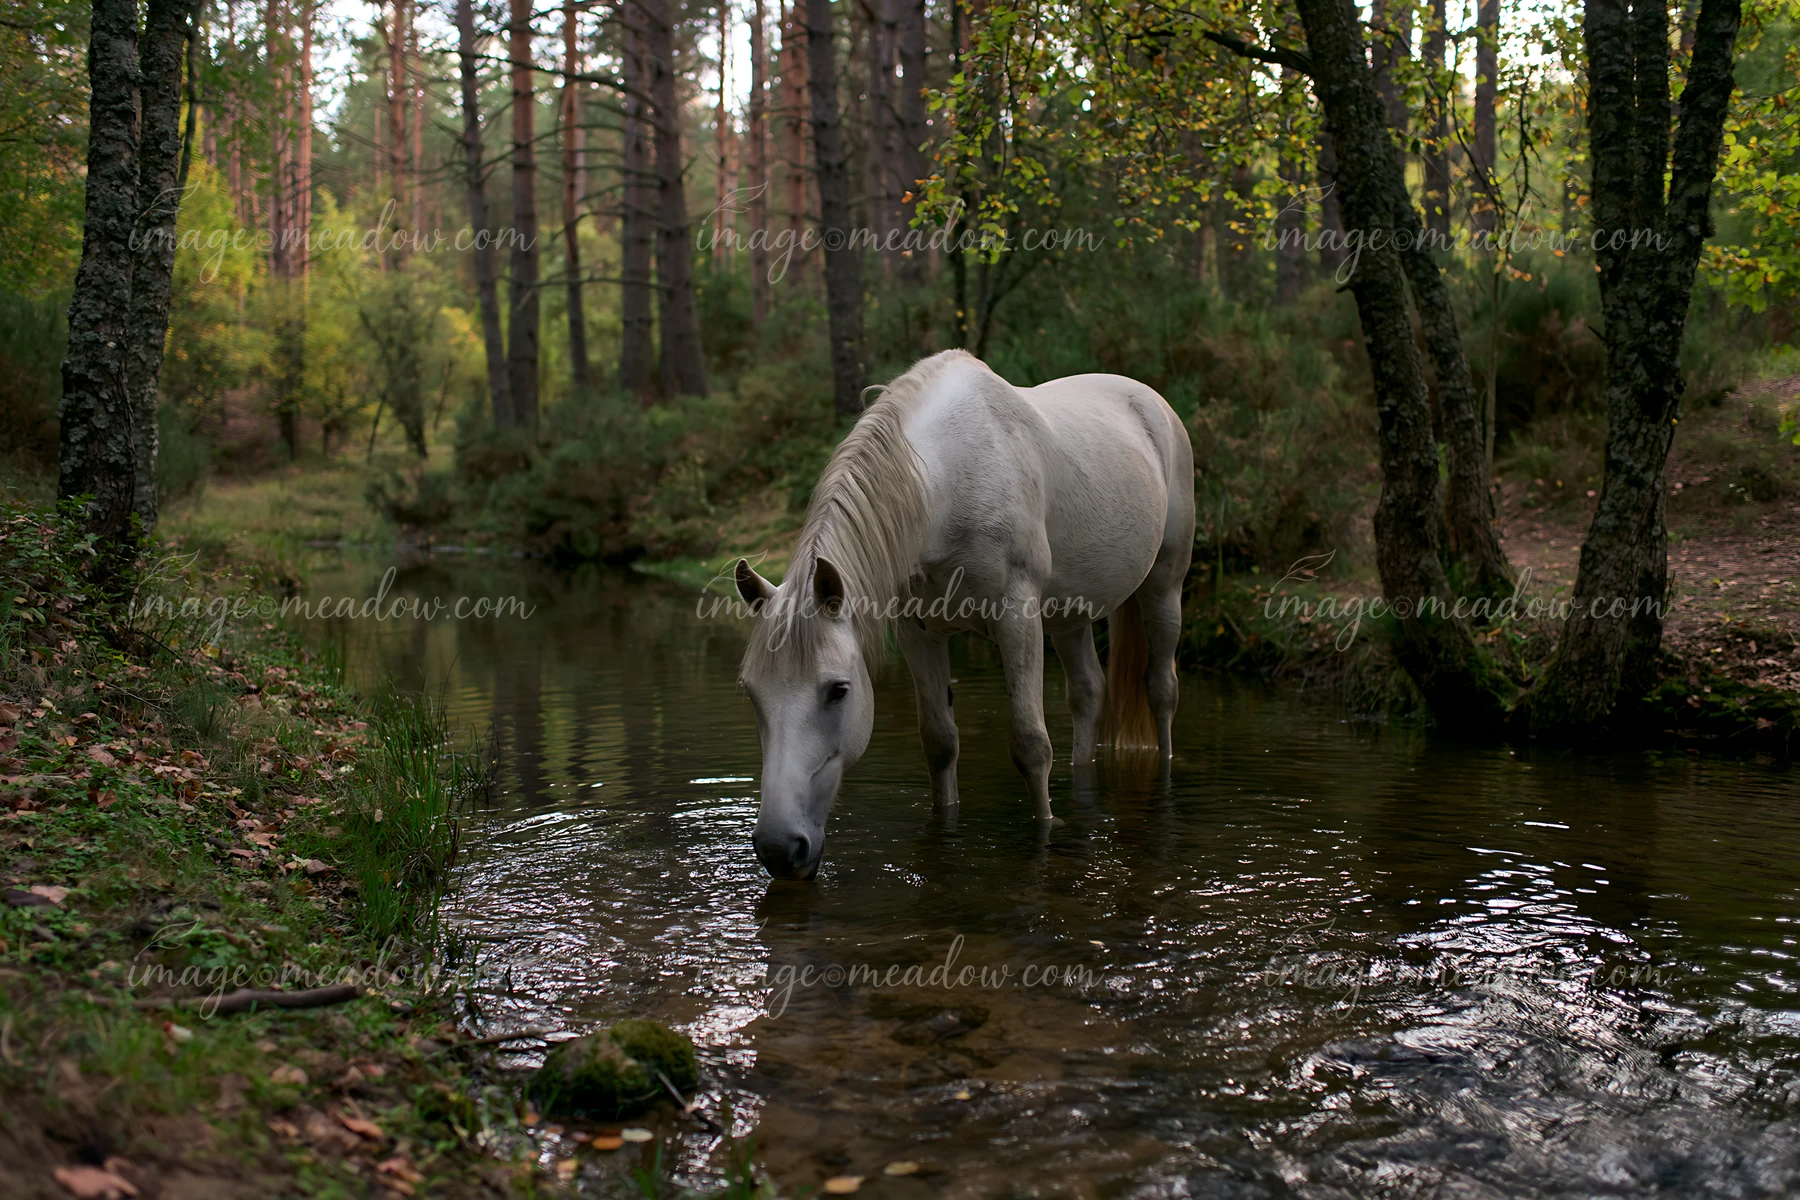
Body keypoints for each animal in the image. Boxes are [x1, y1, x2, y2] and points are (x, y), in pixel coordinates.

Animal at [733, 349, 1195, 879]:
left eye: (838, 690)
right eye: (752, 693)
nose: (778, 848)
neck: (946, 483)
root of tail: (1151, 401)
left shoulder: (1018, 619)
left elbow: (1031, 745)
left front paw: (1044, 832)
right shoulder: (918, 634)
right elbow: (940, 743)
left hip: (1164, 587)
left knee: (1161, 690)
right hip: (1069, 617)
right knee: (1088, 695)